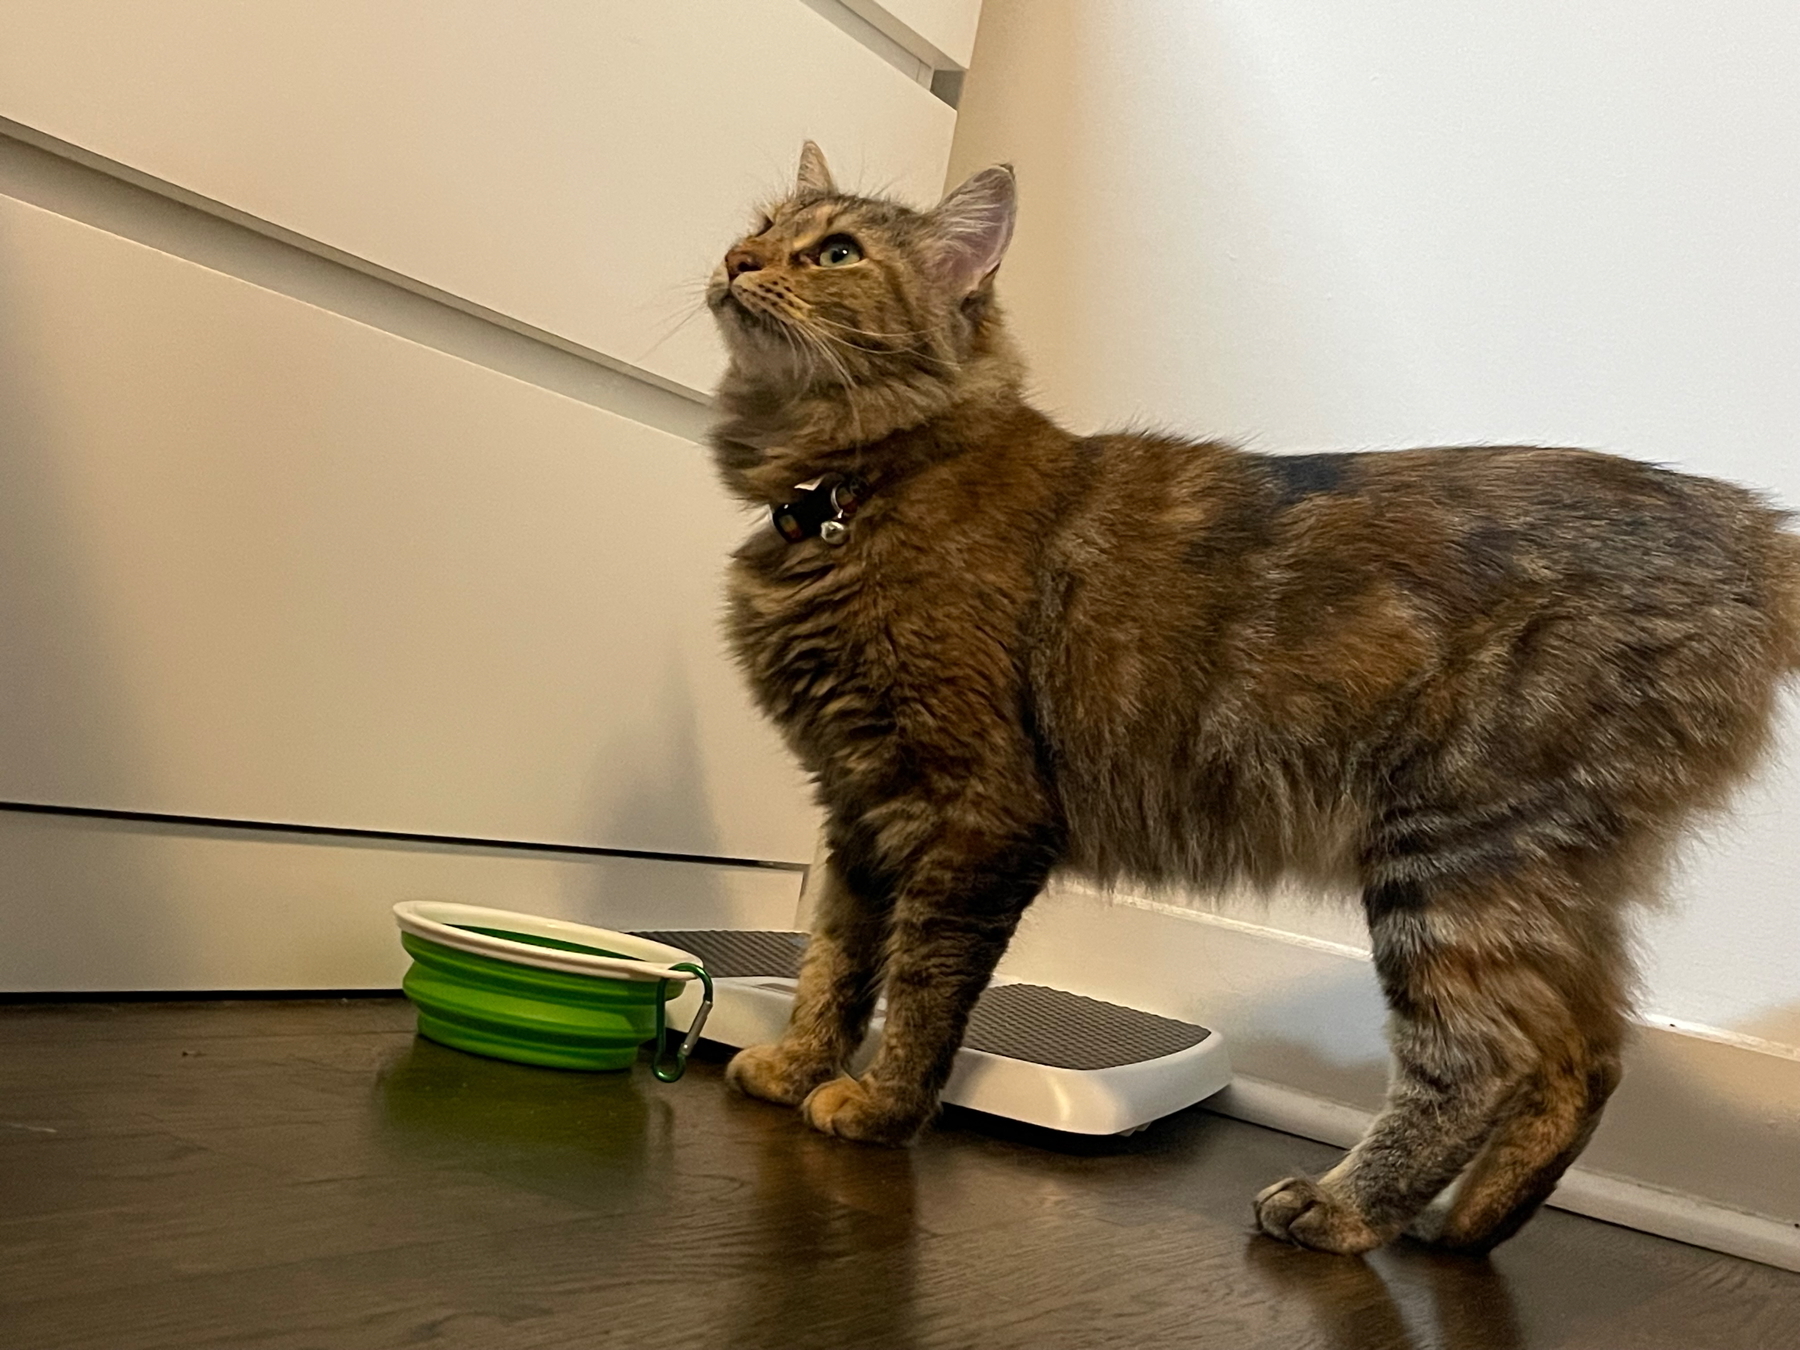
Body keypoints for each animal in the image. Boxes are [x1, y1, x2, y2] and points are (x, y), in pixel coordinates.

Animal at [698, 140, 1800, 1260]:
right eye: (763, 225)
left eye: (837, 251)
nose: (738, 260)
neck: (856, 492)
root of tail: (1754, 531)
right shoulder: (857, 808)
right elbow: (834, 963)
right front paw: (795, 1067)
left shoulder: (972, 815)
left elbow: (918, 989)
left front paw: (880, 1107)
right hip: (1551, 883)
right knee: (1586, 1052)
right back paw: (1468, 1227)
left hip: (1455, 856)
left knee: (1484, 1058)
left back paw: (1347, 1210)